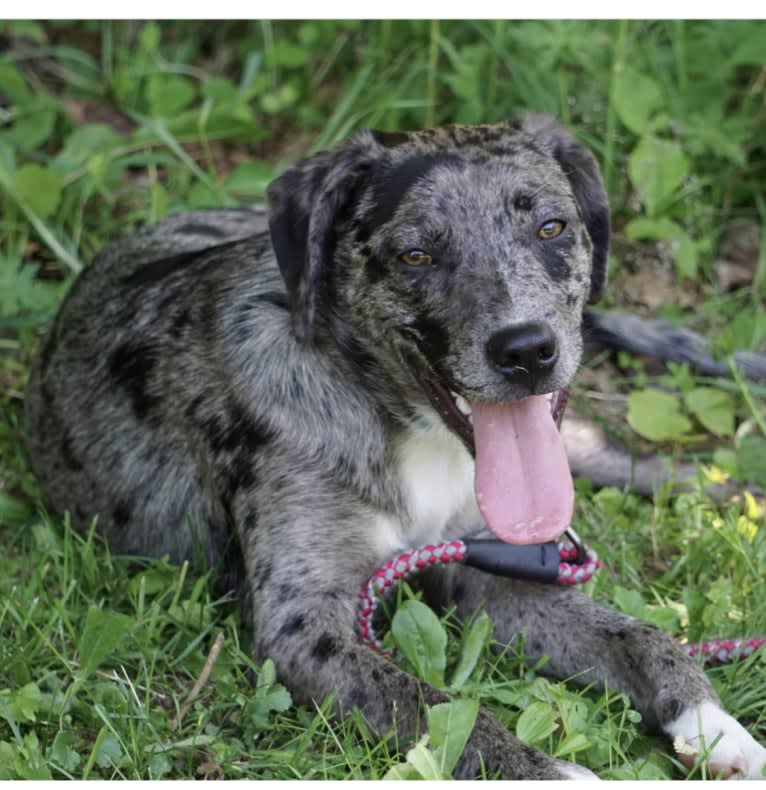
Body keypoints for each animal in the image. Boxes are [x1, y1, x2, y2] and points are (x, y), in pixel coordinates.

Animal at [24, 117, 766, 780]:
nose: (526, 351)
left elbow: (639, 634)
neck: (414, 434)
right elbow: (437, 708)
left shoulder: (495, 575)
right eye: (417, 254)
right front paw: (554, 772)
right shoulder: (305, 629)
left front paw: (711, 721)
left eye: (551, 228)